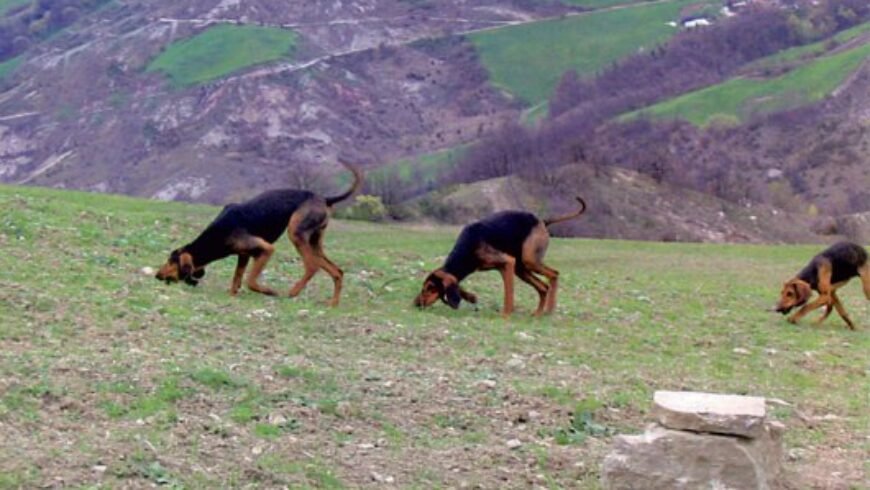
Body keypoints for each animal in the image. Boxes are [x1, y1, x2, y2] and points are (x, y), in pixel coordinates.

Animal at [155, 161, 362, 306]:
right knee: (337, 271)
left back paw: (293, 292)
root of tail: (324, 198)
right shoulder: (244, 255)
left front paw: (269, 291)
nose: (156, 275)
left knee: (312, 266)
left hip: (295, 234)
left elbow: (250, 281)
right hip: (314, 241)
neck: (216, 235)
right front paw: (233, 295)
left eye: (170, 261)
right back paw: (332, 304)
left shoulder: (266, 249)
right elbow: (237, 279)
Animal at [414, 198, 584, 318]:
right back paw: (539, 313)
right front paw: (471, 297)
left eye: (430, 288)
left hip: (528, 261)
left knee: (554, 274)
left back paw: (549, 310)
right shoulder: (503, 268)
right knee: (543, 287)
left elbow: (508, 295)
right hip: (521, 269)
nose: (415, 304)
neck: (468, 247)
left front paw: (506, 315)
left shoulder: (507, 263)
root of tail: (542, 221)